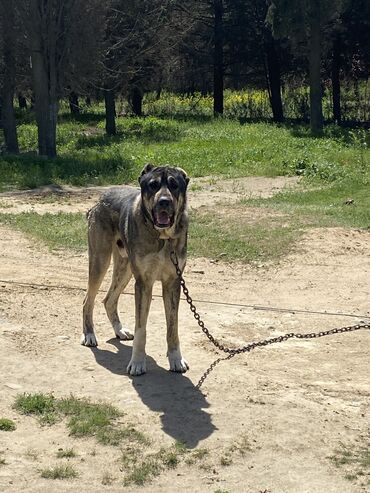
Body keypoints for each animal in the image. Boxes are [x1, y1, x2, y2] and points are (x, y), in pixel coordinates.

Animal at [82, 163, 189, 374]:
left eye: (174, 185)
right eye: (152, 185)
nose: (164, 202)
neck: (162, 238)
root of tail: (100, 198)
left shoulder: (172, 283)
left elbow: (173, 328)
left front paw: (176, 359)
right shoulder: (144, 283)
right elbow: (141, 329)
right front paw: (138, 362)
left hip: (125, 270)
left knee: (108, 300)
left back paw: (119, 331)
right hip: (100, 262)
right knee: (87, 301)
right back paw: (89, 335)